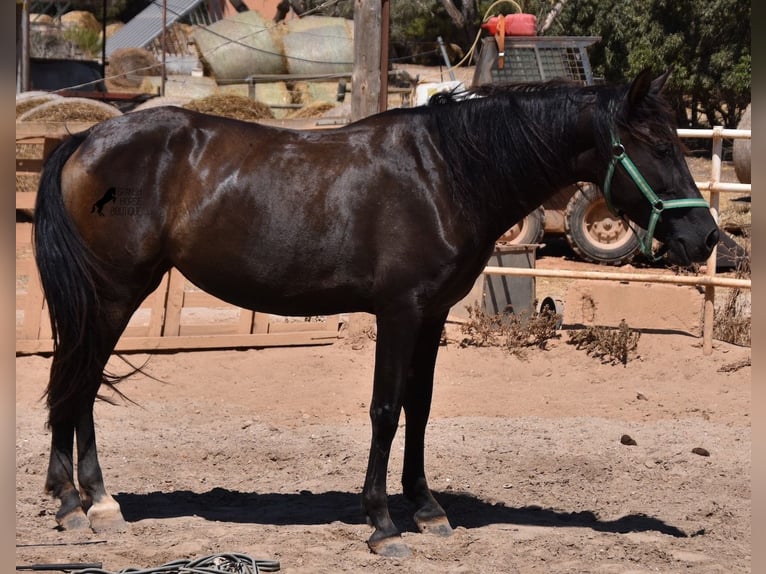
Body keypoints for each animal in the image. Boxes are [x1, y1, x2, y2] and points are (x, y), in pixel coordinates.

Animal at [33, 67, 724, 560]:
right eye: (657, 145)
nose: (705, 239)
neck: (445, 174)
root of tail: (84, 139)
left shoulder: (433, 315)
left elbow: (420, 409)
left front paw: (428, 510)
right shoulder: (400, 311)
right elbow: (386, 411)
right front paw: (382, 522)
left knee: (78, 382)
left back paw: (88, 501)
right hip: (114, 293)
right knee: (79, 381)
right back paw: (80, 504)